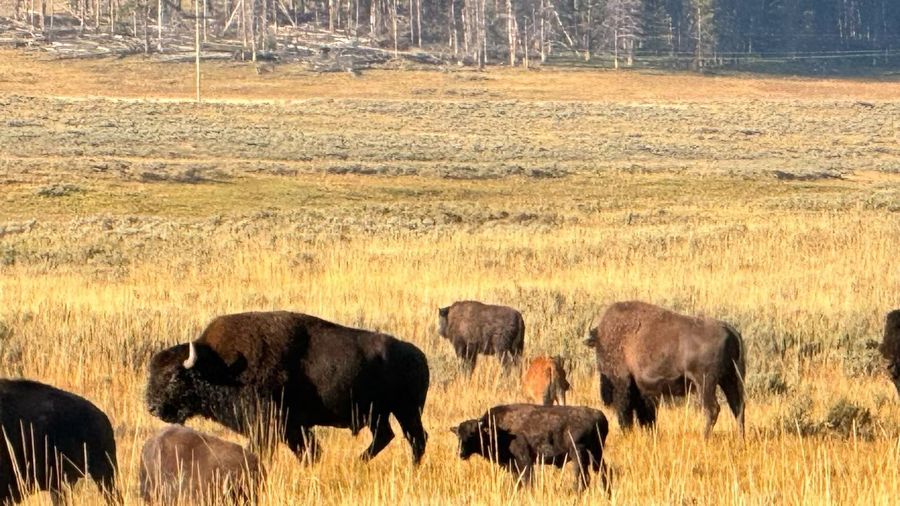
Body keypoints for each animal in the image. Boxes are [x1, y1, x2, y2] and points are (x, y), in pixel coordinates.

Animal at [146, 311, 430, 466]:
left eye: (174, 377)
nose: (152, 407)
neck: (218, 366)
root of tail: (418, 355)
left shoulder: (270, 425)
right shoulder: (293, 427)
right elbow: (309, 452)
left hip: (406, 411)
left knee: (416, 439)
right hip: (380, 414)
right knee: (387, 437)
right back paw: (358, 462)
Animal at [451, 404, 608, 492]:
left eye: (473, 434)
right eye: (458, 435)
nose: (460, 453)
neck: (497, 428)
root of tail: (599, 415)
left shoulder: (525, 461)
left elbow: (528, 480)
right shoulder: (512, 465)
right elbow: (518, 481)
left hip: (578, 454)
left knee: (582, 477)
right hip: (596, 455)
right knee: (602, 473)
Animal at [583, 301, 745, 438]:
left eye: (599, 349)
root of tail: (730, 329)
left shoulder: (623, 383)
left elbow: (626, 412)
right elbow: (646, 414)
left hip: (706, 383)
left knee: (712, 409)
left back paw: (704, 438)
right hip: (729, 379)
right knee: (738, 407)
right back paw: (740, 438)